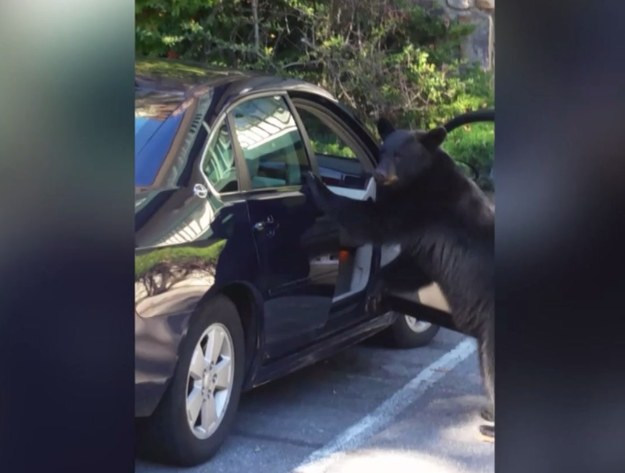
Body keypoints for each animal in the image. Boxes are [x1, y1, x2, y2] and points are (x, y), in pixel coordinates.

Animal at [304, 117, 494, 438]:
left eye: (399, 155)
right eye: (382, 151)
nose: (379, 174)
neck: (420, 177)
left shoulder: (421, 208)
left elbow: (371, 219)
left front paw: (316, 184)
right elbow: (414, 267)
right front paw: (376, 289)